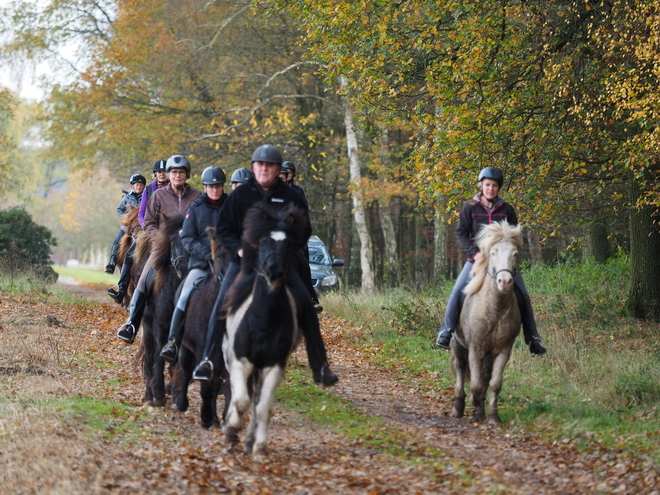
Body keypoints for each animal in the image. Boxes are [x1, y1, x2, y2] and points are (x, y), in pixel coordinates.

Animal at [139, 213, 188, 406]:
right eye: (173, 240)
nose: (184, 267)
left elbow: (177, 361)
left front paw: (174, 391)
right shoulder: (160, 325)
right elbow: (159, 356)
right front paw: (159, 391)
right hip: (147, 328)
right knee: (150, 359)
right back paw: (149, 397)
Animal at [220, 202, 306, 462]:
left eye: (288, 243)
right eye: (264, 242)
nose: (274, 272)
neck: (263, 320)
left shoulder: (273, 366)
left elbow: (262, 406)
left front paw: (259, 447)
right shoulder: (240, 361)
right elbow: (240, 401)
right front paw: (230, 431)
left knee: (256, 398)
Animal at [452, 221, 524, 426]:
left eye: (515, 253)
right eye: (493, 252)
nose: (504, 281)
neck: (494, 310)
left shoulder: (503, 350)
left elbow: (494, 383)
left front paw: (491, 415)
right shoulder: (474, 348)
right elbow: (475, 384)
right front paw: (475, 406)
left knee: (485, 375)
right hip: (458, 344)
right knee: (460, 369)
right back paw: (458, 407)